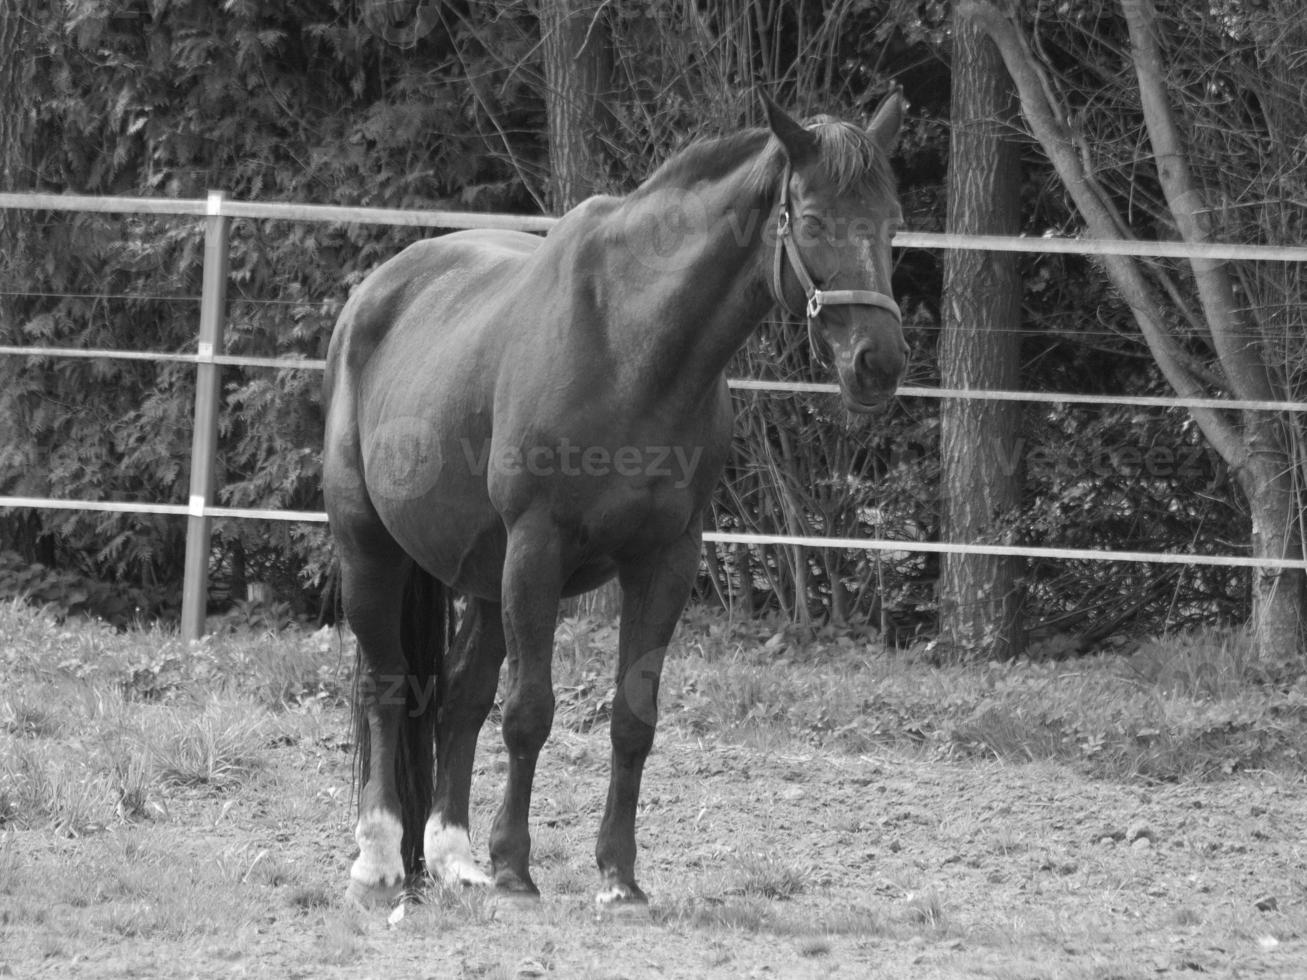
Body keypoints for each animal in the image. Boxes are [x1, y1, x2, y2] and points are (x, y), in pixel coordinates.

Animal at [321, 92, 904, 914]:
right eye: (815, 219)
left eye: (891, 222)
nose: (878, 363)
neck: (632, 346)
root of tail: (374, 295)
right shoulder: (537, 549)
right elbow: (529, 713)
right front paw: (515, 868)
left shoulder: (665, 561)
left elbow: (633, 719)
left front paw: (617, 876)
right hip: (370, 546)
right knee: (384, 684)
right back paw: (378, 861)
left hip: (483, 575)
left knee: (459, 697)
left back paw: (453, 858)